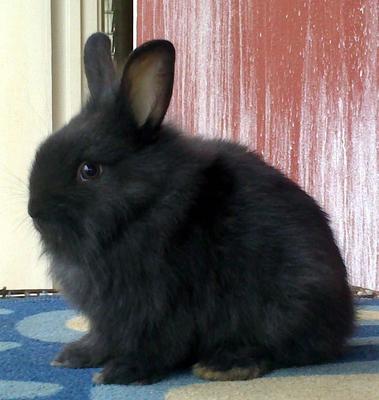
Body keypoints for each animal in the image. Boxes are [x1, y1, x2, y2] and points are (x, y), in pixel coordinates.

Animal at [28, 34, 354, 384]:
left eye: (89, 170)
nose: (35, 211)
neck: (146, 205)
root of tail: (344, 319)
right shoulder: (110, 315)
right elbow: (105, 338)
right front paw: (74, 356)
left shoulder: (164, 301)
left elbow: (159, 343)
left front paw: (122, 372)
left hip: (288, 301)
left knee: (278, 349)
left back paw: (223, 364)